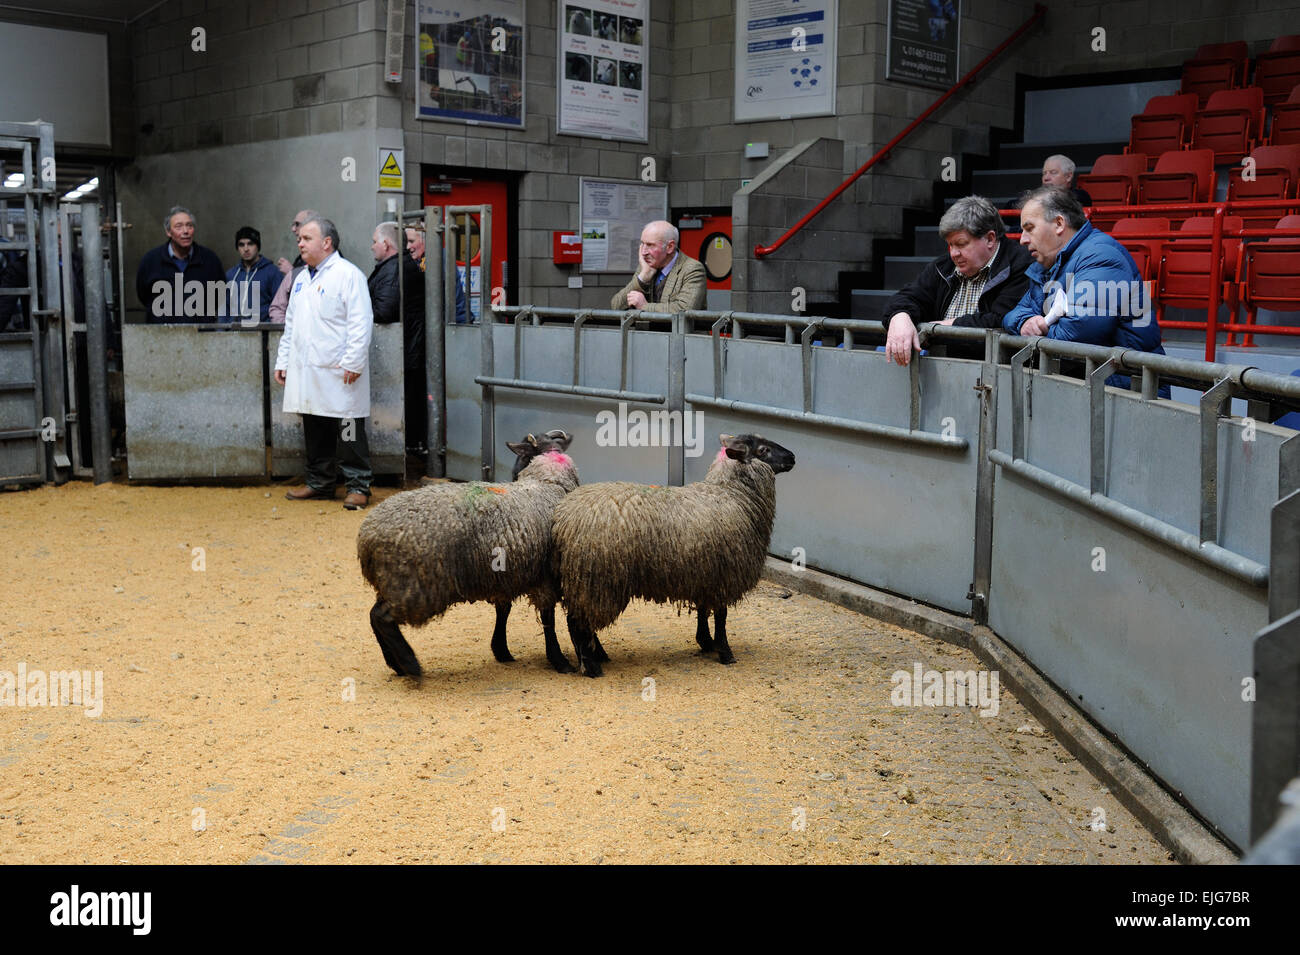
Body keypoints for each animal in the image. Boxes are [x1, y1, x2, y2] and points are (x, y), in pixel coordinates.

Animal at [356, 428, 579, 675]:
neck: (546, 481)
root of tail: (367, 538)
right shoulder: (545, 577)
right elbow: (548, 619)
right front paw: (559, 660)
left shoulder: (504, 577)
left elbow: (504, 611)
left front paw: (501, 650)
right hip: (416, 586)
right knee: (382, 617)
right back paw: (409, 663)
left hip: (392, 584)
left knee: (373, 615)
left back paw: (396, 663)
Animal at [553, 428, 795, 675]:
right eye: (763, 450)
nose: (793, 457)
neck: (731, 493)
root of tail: (563, 519)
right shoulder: (723, 577)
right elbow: (721, 616)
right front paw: (725, 652)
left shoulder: (705, 574)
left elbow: (703, 610)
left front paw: (706, 642)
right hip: (598, 580)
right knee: (577, 622)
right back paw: (592, 666)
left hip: (586, 581)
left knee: (579, 620)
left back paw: (598, 656)